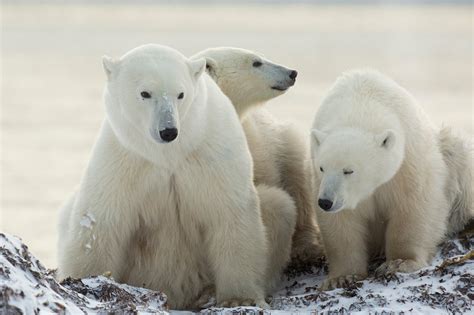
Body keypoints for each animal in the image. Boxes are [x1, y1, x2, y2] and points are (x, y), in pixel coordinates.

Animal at [56, 45, 296, 312]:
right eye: (145, 93)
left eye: (181, 94)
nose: (168, 130)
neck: (170, 153)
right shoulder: (125, 158)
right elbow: (103, 220)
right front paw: (88, 279)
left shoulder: (211, 154)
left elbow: (229, 214)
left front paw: (239, 298)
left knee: (279, 207)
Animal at [310, 69, 472, 292]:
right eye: (322, 167)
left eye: (349, 170)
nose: (326, 202)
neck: (360, 103)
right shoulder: (323, 182)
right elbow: (341, 223)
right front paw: (341, 277)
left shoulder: (407, 162)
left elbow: (413, 206)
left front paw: (399, 262)